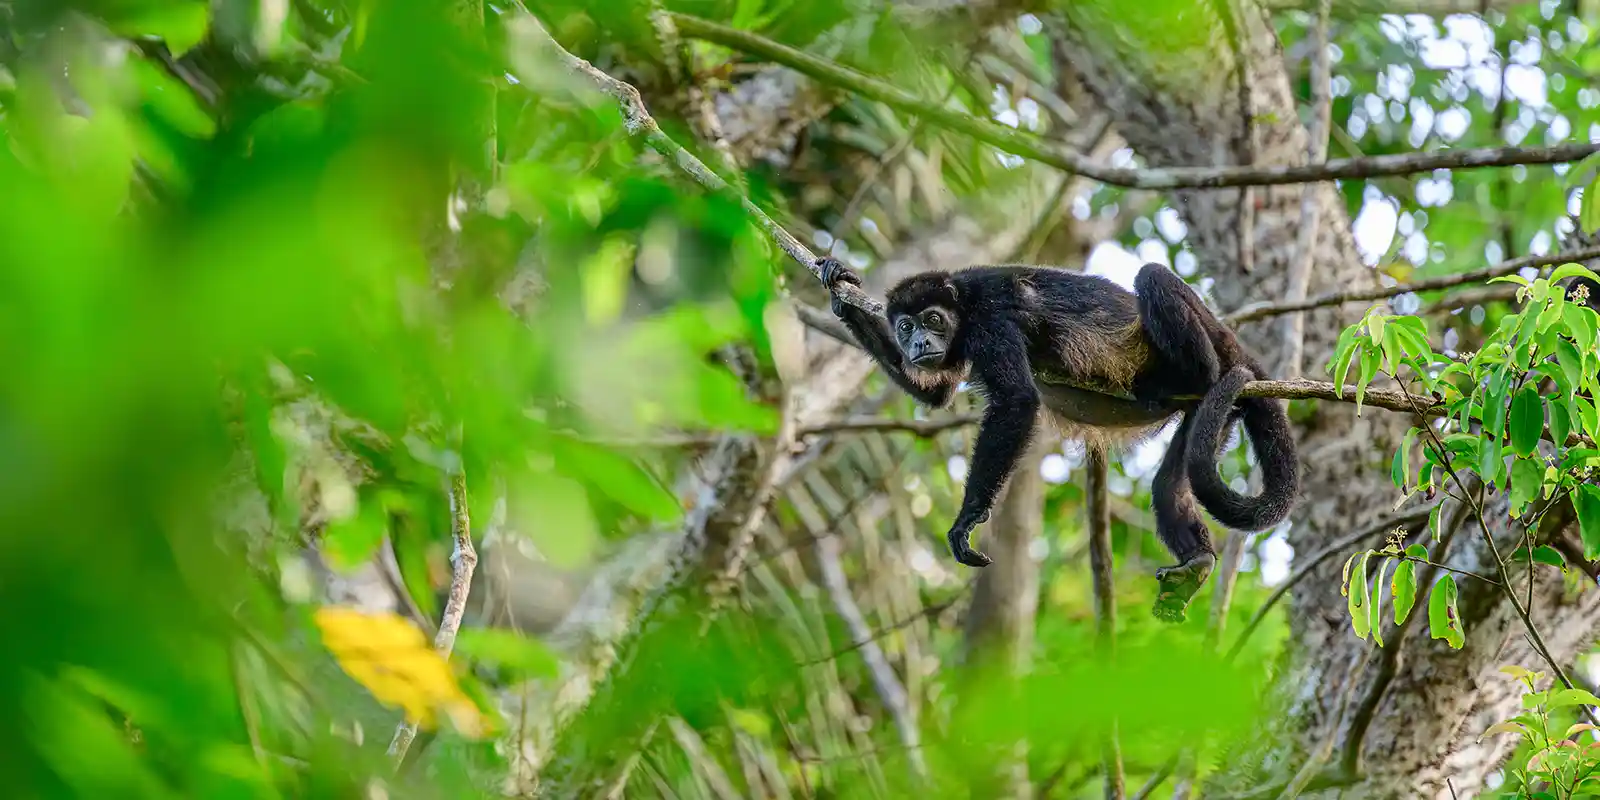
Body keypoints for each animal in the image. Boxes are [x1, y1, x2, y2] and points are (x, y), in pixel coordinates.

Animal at [818, 256, 1299, 621]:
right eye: (904, 327)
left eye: (932, 320)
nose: (918, 343)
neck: (963, 306)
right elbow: (937, 394)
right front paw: (841, 292)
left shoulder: (991, 319)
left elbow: (1016, 401)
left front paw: (967, 520)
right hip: (1209, 417)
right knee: (1169, 487)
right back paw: (1197, 564)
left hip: (1213, 358)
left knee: (1152, 277)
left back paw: (1189, 374)